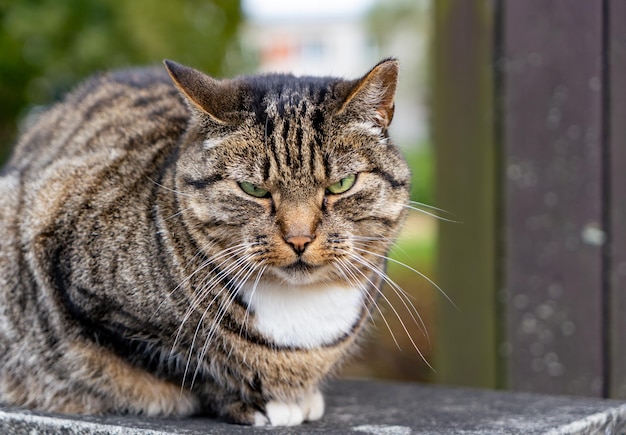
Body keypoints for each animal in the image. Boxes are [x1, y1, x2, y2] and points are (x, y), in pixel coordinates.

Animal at [0, 57, 410, 426]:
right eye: (253, 189)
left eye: (341, 185)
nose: (299, 238)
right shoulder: (82, 287)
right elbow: (186, 365)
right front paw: (256, 402)